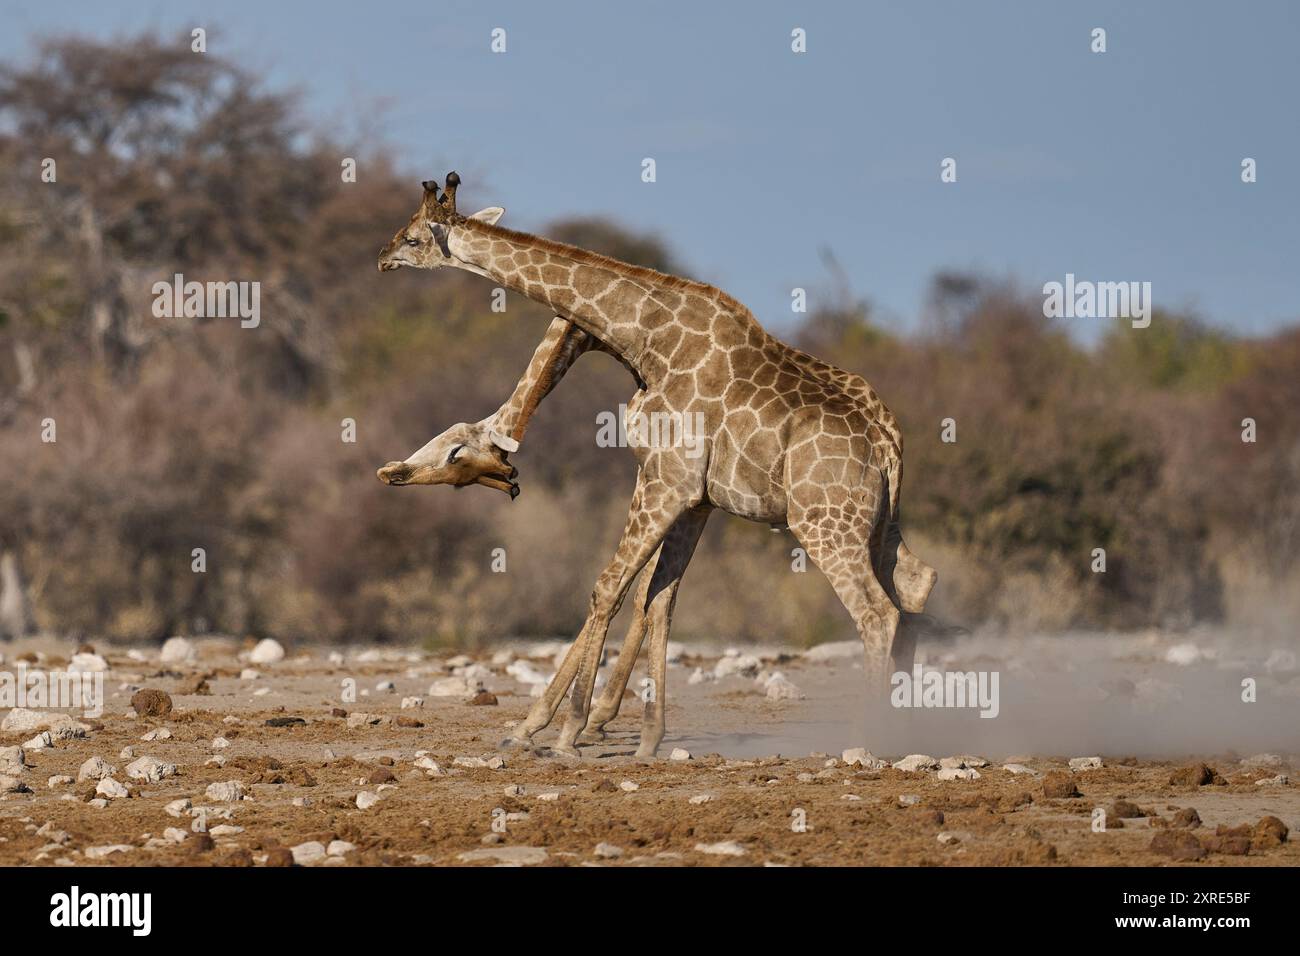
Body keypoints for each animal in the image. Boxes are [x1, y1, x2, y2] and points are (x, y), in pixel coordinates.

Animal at [377, 173, 937, 756]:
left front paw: (563, 730)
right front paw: (639, 737)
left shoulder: (665, 480)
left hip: (824, 526)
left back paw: (869, 739)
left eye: (414, 236)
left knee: (878, 614)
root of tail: (887, 443)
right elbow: (658, 598)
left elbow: (612, 587)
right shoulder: (693, 496)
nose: (382, 258)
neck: (644, 338)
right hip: (879, 526)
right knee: (915, 588)